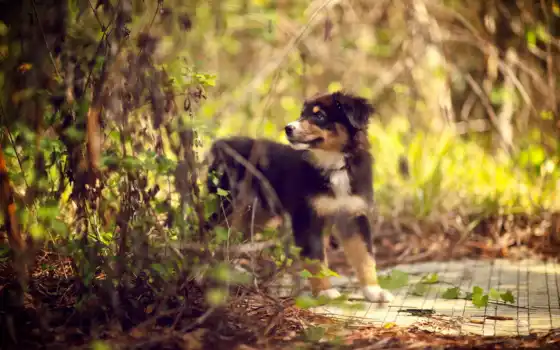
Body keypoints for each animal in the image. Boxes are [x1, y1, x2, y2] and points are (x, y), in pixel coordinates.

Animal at [206, 91, 394, 304]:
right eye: (302, 114)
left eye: (319, 115)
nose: (288, 128)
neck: (335, 165)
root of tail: (222, 144)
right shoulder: (308, 217)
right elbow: (316, 257)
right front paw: (325, 291)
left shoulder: (353, 215)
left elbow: (365, 256)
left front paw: (374, 291)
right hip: (229, 207)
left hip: (257, 215)